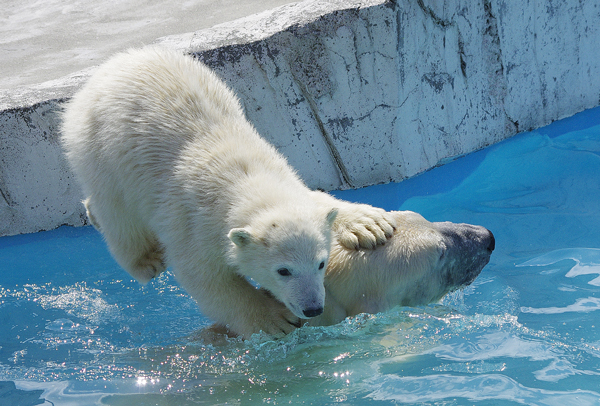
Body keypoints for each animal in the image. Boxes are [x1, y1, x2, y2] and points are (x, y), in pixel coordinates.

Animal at [61, 46, 396, 340]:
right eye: (283, 271)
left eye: (321, 263)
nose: (312, 308)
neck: (245, 176)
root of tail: (108, 67)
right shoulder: (193, 223)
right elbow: (206, 278)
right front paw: (273, 319)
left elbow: (319, 201)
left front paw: (369, 226)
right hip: (102, 150)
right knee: (117, 211)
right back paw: (144, 260)